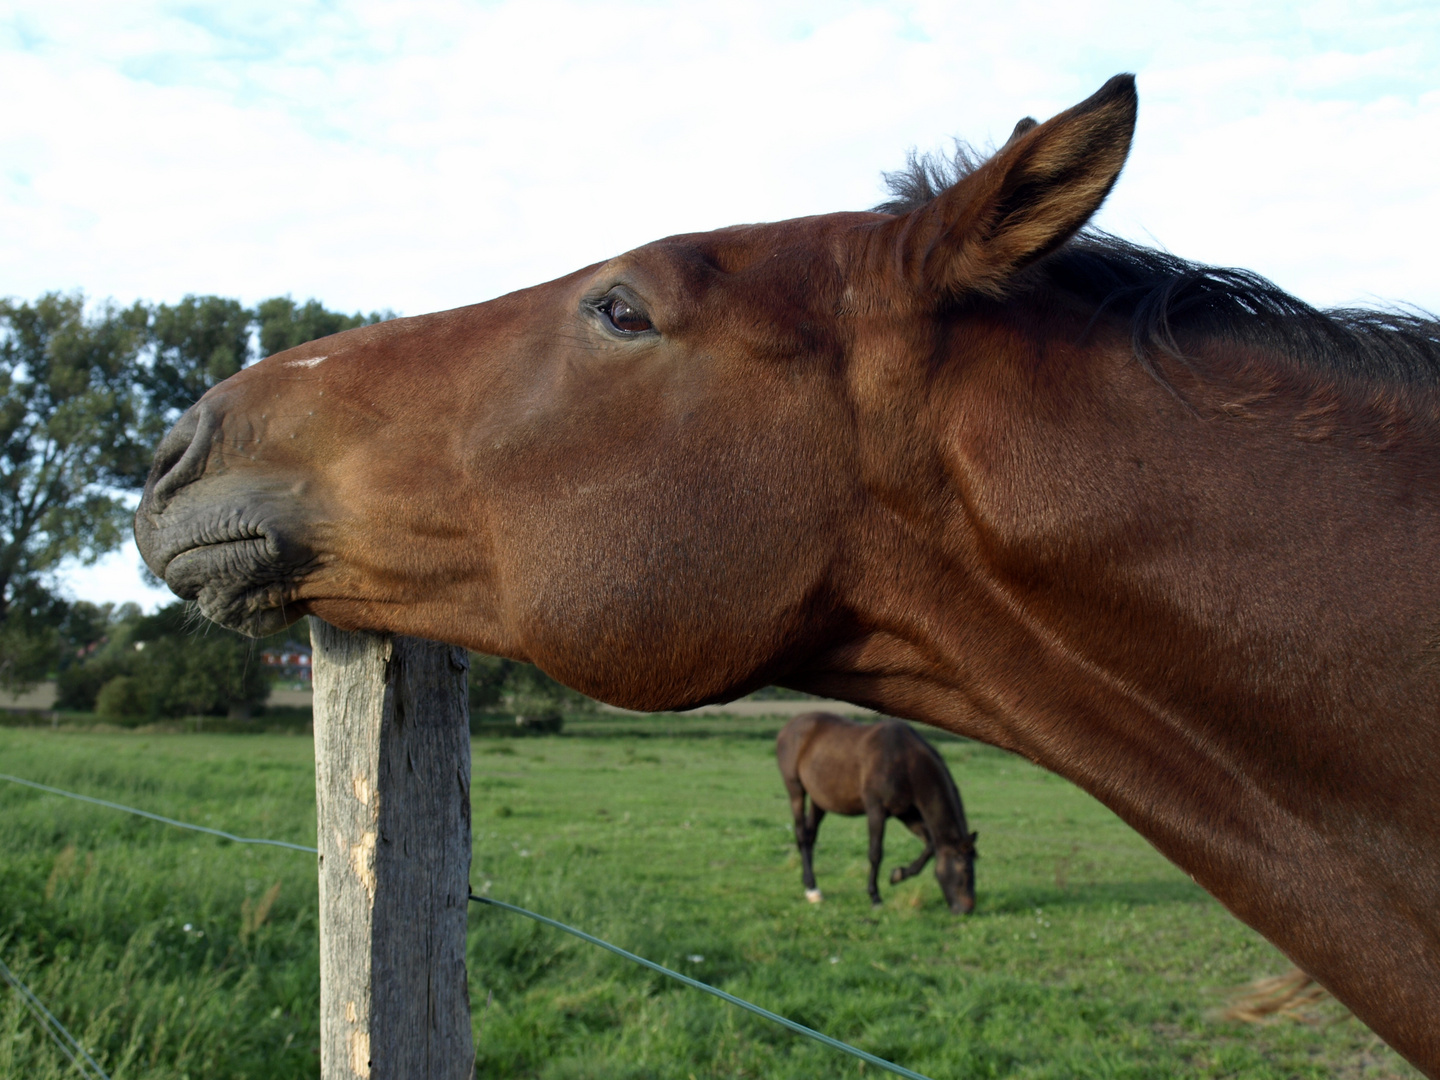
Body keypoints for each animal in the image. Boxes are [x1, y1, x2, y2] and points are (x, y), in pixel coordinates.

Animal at [777, 720, 979, 915]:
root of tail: (788, 727)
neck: (905, 761)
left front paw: (898, 874)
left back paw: (812, 888)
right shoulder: (876, 810)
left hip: (819, 800)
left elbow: (930, 845)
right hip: (796, 790)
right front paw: (875, 897)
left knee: (810, 836)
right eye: (965, 868)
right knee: (802, 834)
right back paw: (811, 887)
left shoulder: (906, 813)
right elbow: (875, 853)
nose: (967, 908)